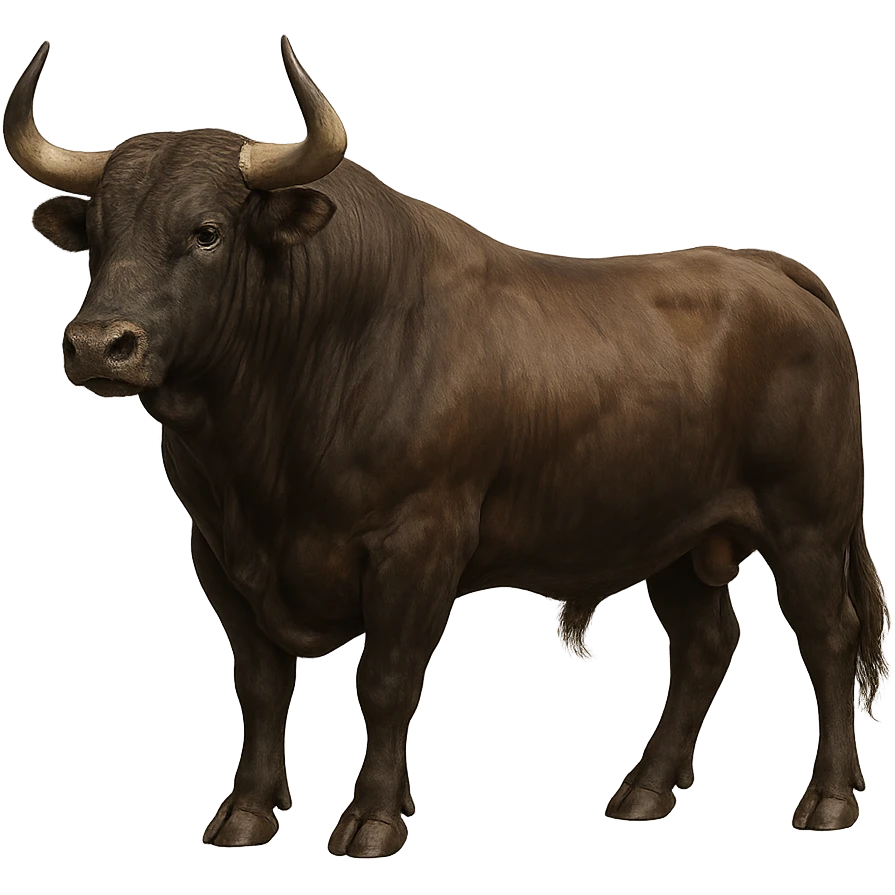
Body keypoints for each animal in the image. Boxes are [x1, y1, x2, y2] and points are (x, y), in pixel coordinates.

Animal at [6, 36, 887, 854]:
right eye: (97, 234)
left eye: (207, 231)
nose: (96, 344)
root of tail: (767, 269)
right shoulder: (219, 550)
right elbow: (259, 686)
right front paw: (246, 814)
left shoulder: (417, 544)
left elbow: (385, 681)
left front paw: (370, 820)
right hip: (675, 538)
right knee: (704, 648)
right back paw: (641, 793)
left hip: (805, 526)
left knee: (828, 639)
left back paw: (826, 801)